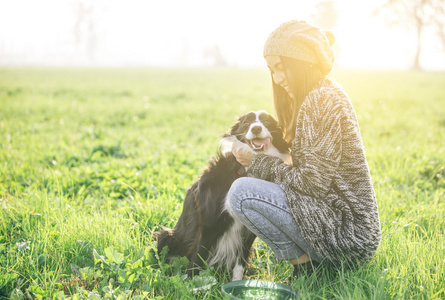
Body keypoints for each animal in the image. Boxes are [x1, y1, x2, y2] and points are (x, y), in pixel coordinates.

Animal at [153, 110, 292, 282]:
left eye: (267, 121)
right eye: (247, 122)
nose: (256, 129)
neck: (245, 169)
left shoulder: (248, 229)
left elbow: (240, 263)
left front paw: (236, 284)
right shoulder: (209, 222)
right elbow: (198, 259)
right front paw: (193, 285)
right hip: (166, 236)